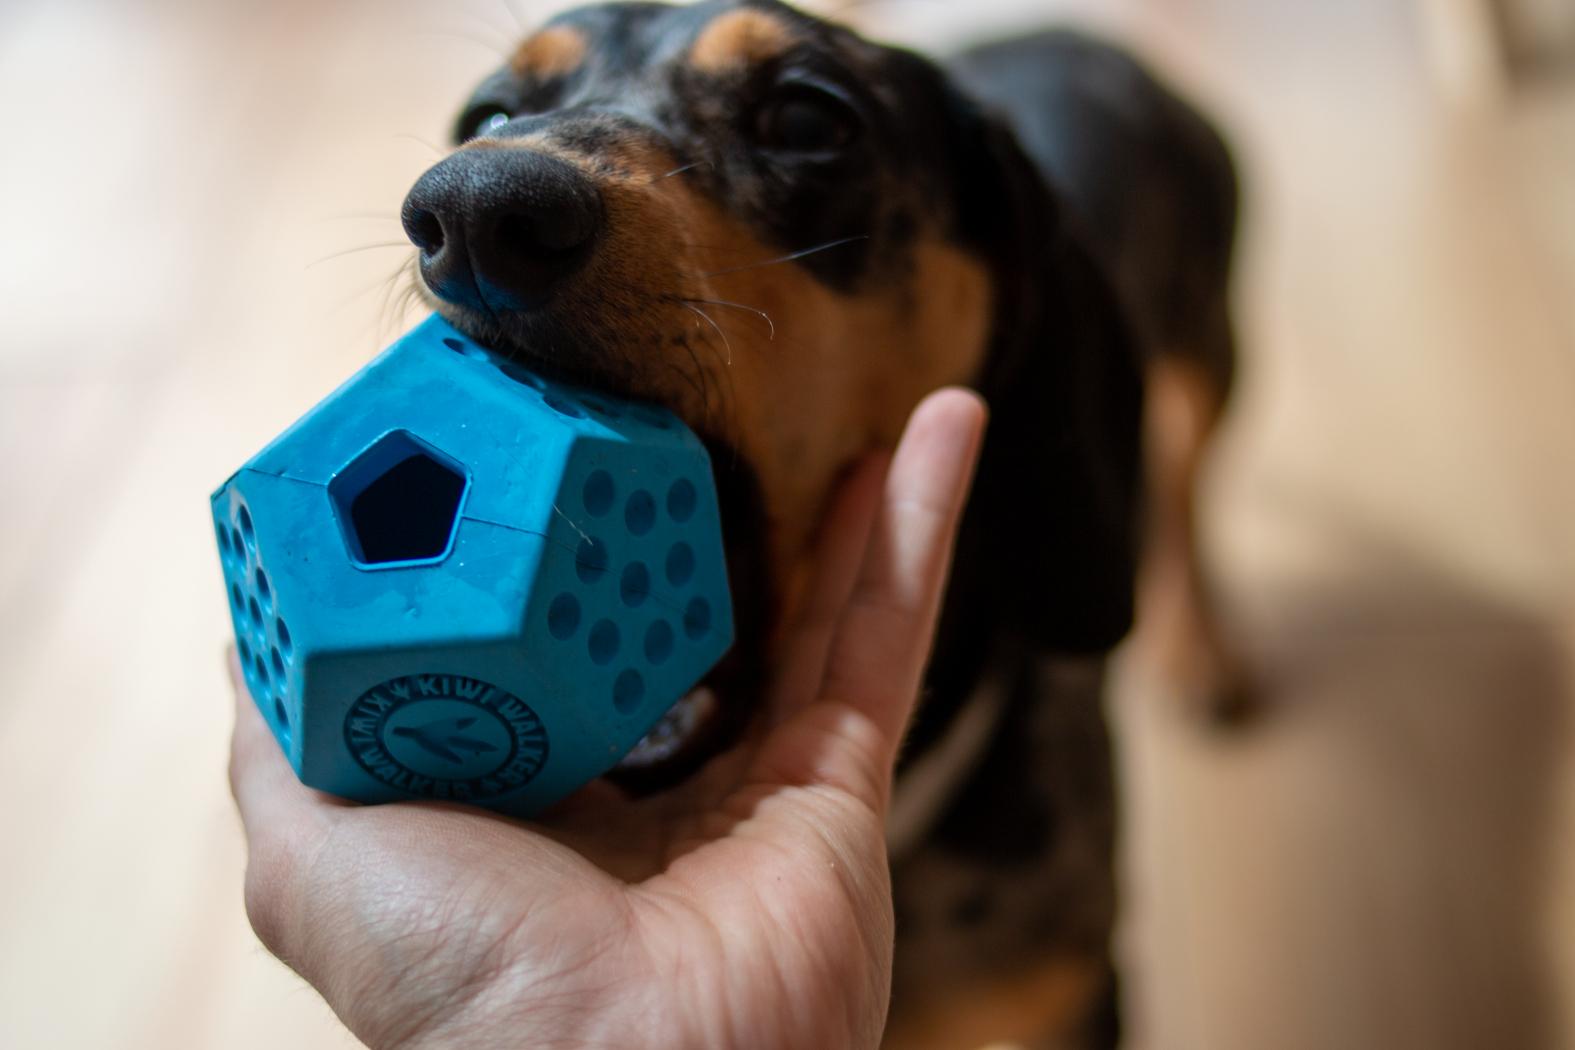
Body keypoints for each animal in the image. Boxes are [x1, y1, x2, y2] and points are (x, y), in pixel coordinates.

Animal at [400, 4, 1234, 1045]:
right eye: (490, 114)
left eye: (807, 118)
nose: (474, 210)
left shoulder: (1082, 995)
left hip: (1213, 341)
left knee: (1187, 477)